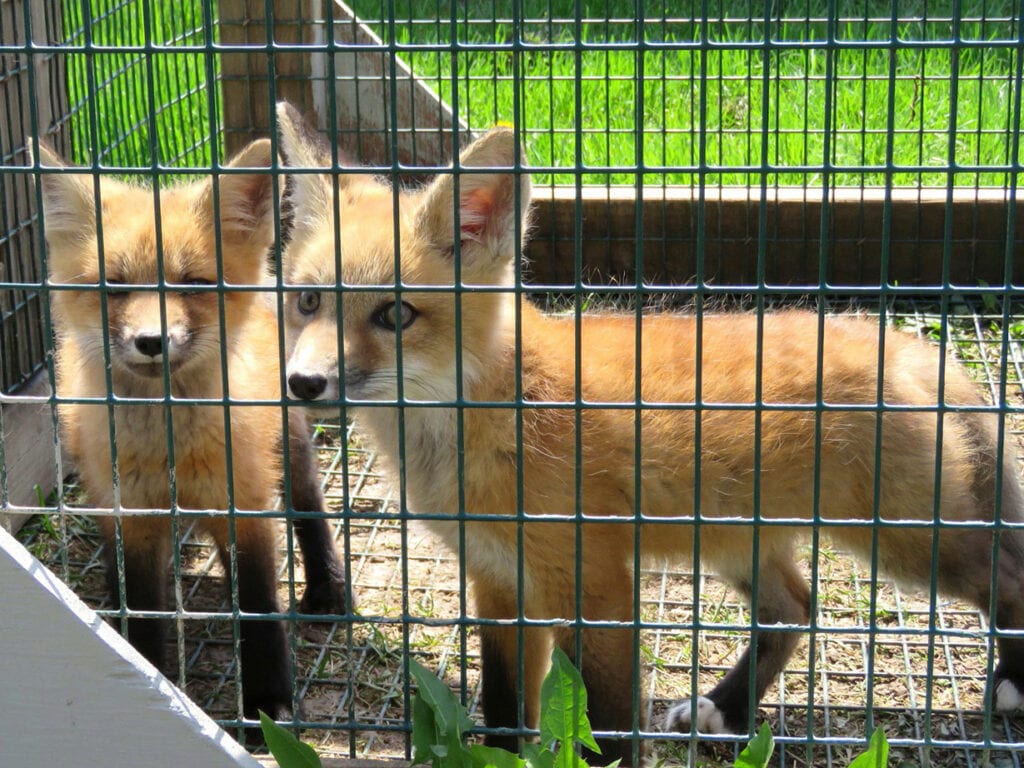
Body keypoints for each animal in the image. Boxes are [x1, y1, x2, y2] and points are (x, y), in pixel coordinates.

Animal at [33, 138, 349, 724]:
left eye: (194, 284)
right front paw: (146, 673)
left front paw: (268, 704)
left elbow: (258, 610)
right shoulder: (133, 515)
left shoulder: (244, 507)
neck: (171, 450)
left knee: (310, 508)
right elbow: (144, 612)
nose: (151, 341)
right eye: (114, 286)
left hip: (289, 448)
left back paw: (327, 586)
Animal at [274, 102, 1024, 764]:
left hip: (907, 540)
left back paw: (1012, 684)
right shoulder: (499, 583)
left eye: (395, 315)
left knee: (1004, 577)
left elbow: (606, 728)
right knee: (794, 607)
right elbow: (505, 710)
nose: (303, 383)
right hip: (739, 541)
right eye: (307, 300)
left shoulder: (597, 585)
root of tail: (911, 347)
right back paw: (727, 706)